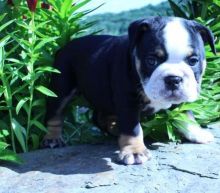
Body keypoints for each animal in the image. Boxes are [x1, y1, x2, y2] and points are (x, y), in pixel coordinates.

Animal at [42, 16, 216, 164]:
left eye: (193, 61)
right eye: (151, 61)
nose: (173, 79)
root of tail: (64, 47)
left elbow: (187, 115)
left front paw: (197, 133)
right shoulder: (127, 101)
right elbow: (132, 128)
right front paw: (134, 151)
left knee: (98, 116)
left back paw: (114, 129)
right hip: (61, 88)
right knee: (54, 113)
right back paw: (52, 138)